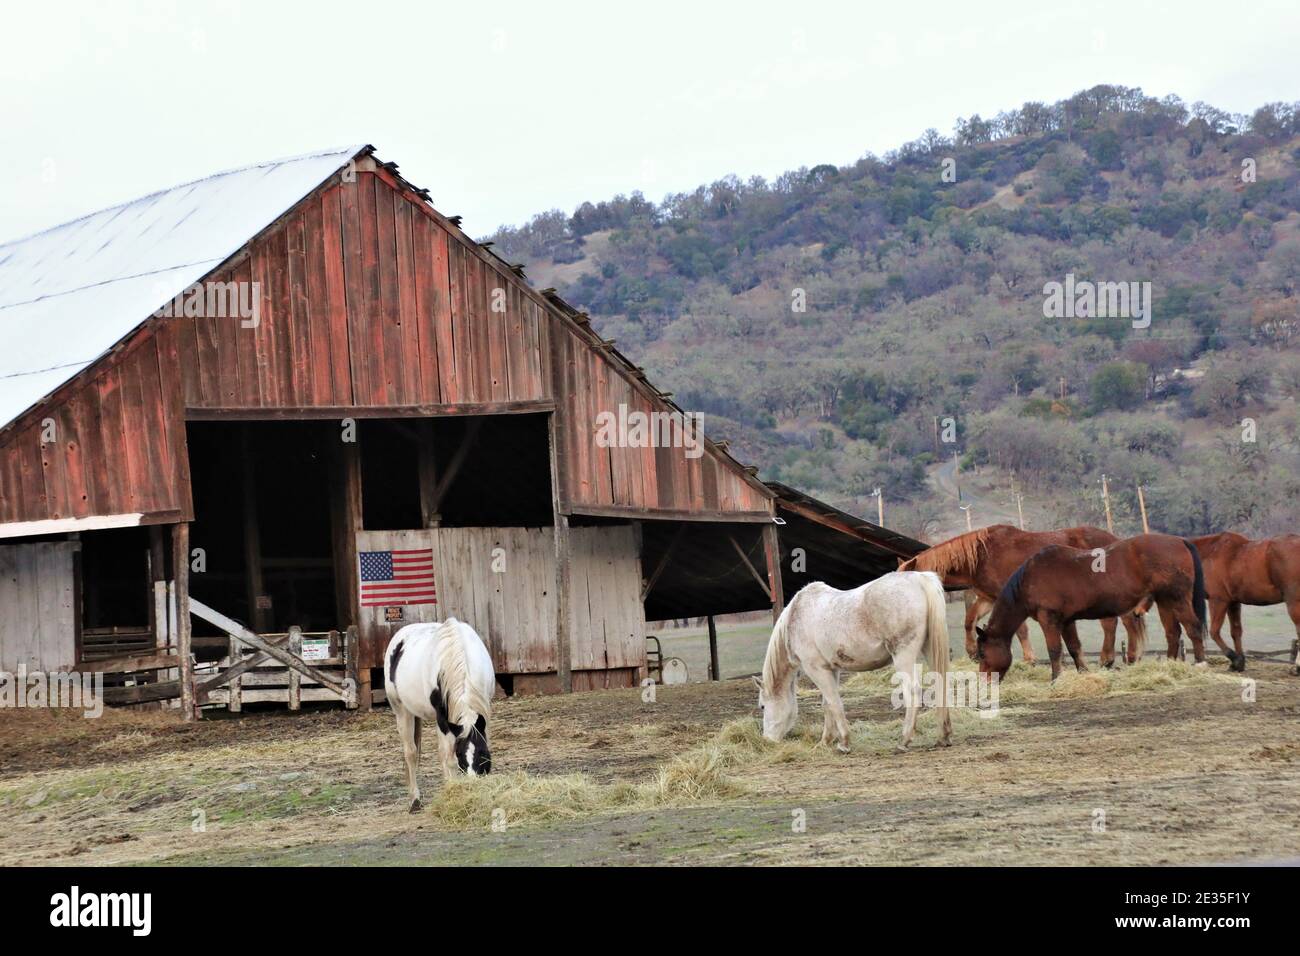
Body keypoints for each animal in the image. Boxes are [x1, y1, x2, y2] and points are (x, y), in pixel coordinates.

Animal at [382, 616, 493, 811]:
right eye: (461, 756)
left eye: (482, 754)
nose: (473, 785)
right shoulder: (444, 719)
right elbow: (449, 759)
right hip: (402, 712)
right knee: (411, 752)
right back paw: (415, 800)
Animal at [754, 574, 956, 754]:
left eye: (763, 706)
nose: (766, 740)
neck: (796, 616)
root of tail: (920, 579)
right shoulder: (831, 669)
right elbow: (827, 704)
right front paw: (825, 742)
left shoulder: (816, 669)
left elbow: (834, 702)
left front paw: (843, 743)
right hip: (930, 649)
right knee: (941, 684)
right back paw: (943, 736)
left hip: (903, 655)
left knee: (912, 692)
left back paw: (904, 740)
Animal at [899, 522, 1144, 665]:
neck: (982, 555)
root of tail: (1115, 540)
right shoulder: (988, 598)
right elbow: (970, 620)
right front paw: (972, 651)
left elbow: (1021, 630)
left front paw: (1029, 659)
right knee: (1120, 622)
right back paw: (1122, 657)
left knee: (1121, 622)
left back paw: (1120, 657)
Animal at [977, 530, 1222, 681]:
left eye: (982, 654)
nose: (983, 682)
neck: (1031, 577)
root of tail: (1180, 541)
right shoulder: (1067, 621)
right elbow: (1074, 647)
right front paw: (1083, 673)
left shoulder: (1050, 620)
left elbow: (1055, 650)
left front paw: (1056, 679)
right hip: (1165, 600)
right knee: (1173, 633)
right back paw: (1169, 666)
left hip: (1177, 598)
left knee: (1192, 627)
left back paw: (1200, 663)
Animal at [1185, 530, 1300, 671]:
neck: (1210, 552)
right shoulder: (1233, 603)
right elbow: (1236, 631)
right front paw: (1238, 663)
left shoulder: (1218, 601)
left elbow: (1214, 632)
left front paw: (1234, 658)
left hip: (1294, 602)